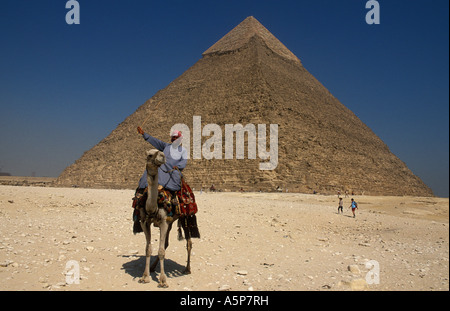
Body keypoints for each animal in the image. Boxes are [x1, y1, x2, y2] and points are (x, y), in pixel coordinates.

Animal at [138, 150, 192, 288]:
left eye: (160, 153)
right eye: (150, 155)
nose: (162, 156)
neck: (153, 206)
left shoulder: (163, 222)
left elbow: (161, 250)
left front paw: (163, 280)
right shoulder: (144, 222)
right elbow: (148, 249)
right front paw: (145, 276)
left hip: (184, 218)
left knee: (189, 243)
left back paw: (187, 268)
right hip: (170, 222)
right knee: (167, 242)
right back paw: (152, 267)